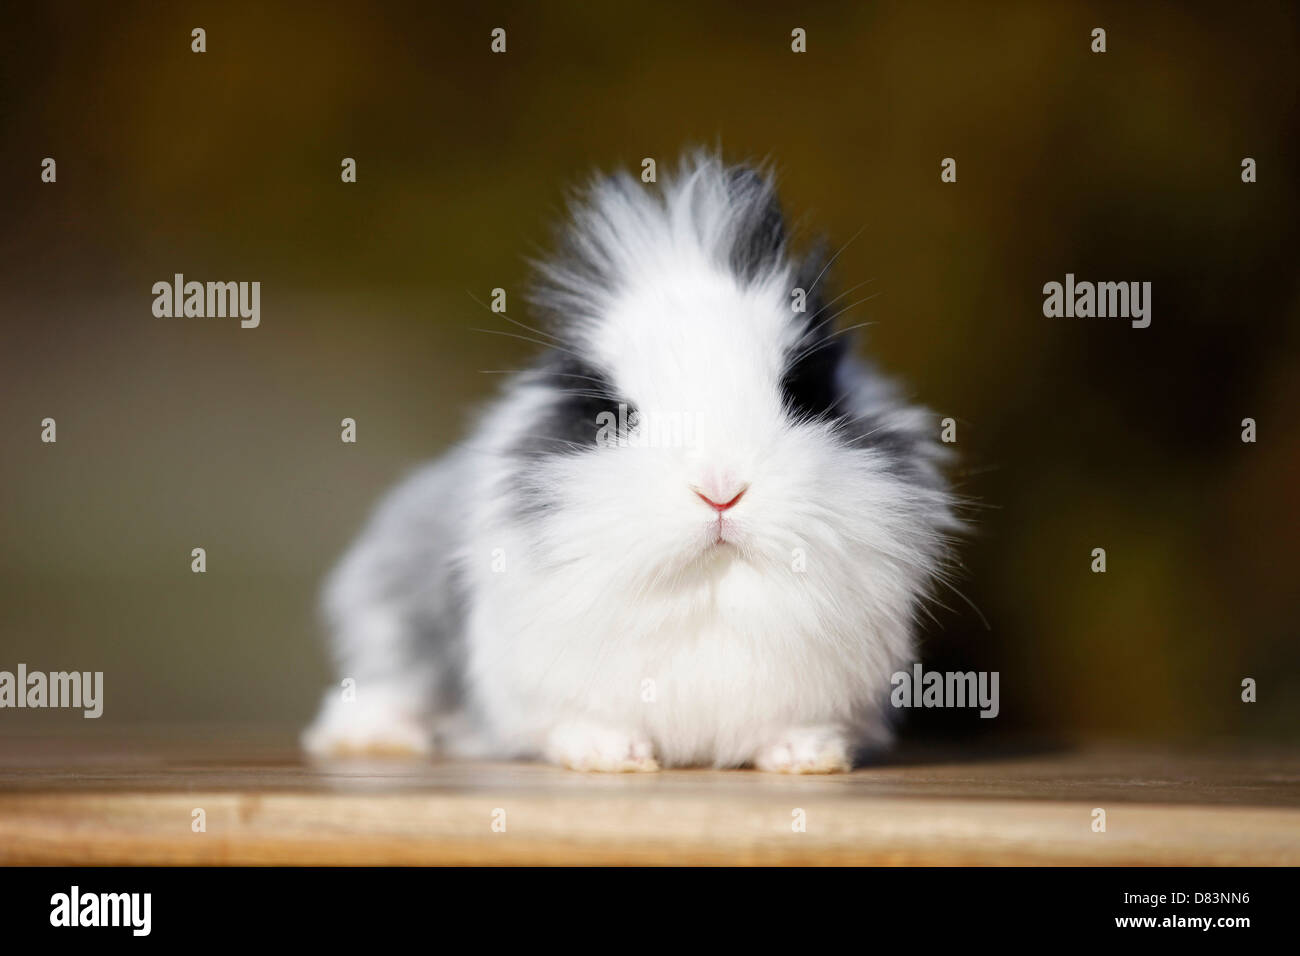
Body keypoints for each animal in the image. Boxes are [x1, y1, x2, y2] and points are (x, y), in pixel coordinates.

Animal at [301, 151, 956, 780]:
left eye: (801, 392)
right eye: (612, 414)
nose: (720, 490)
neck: (710, 592)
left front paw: (808, 757)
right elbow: (573, 722)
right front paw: (610, 755)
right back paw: (369, 737)